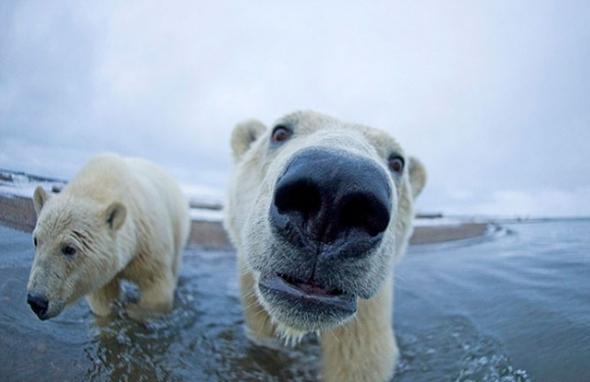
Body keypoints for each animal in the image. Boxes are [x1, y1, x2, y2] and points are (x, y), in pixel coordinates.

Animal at [27, 154, 190, 320]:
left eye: (69, 248)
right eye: (36, 241)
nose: (36, 301)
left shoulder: (149, 247)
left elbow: (156, 288)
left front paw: (132, 310)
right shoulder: (101, 274)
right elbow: (103, 303)